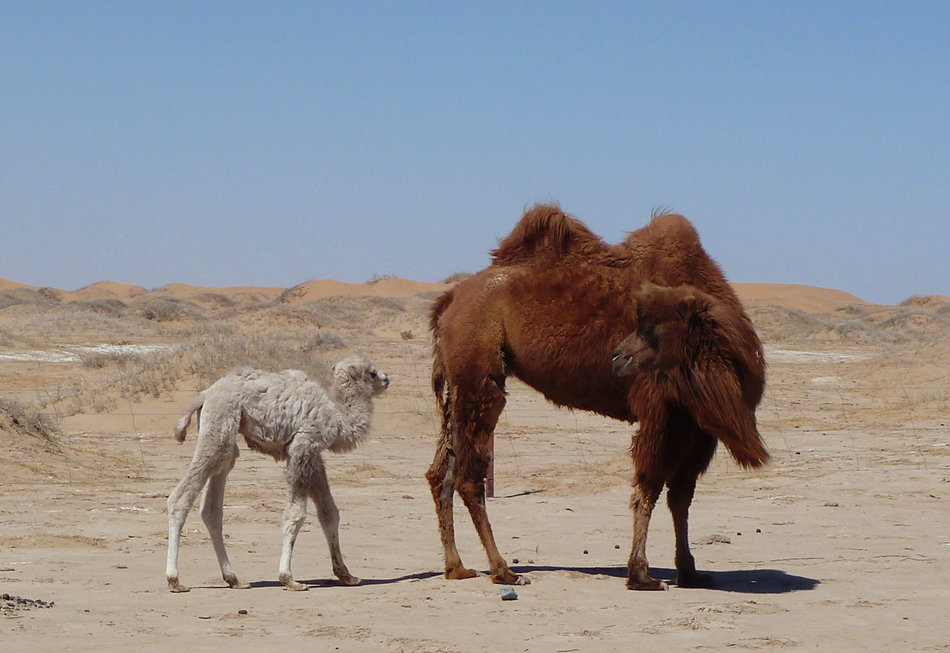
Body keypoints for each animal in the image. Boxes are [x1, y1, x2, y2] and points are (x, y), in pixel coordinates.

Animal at [428, 205, 768, 592]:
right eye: (640, 323)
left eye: (650, 328)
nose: (618, 357)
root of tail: (449, 301)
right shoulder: (662, 412)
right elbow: (649, 487)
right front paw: (641, 574)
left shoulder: (696, 428)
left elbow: (681, 496)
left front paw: (690, 571)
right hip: (479, 376)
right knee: (470, 476)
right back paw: (503, 570)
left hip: (458, 386)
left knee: (441, 473)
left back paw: (457, 566)